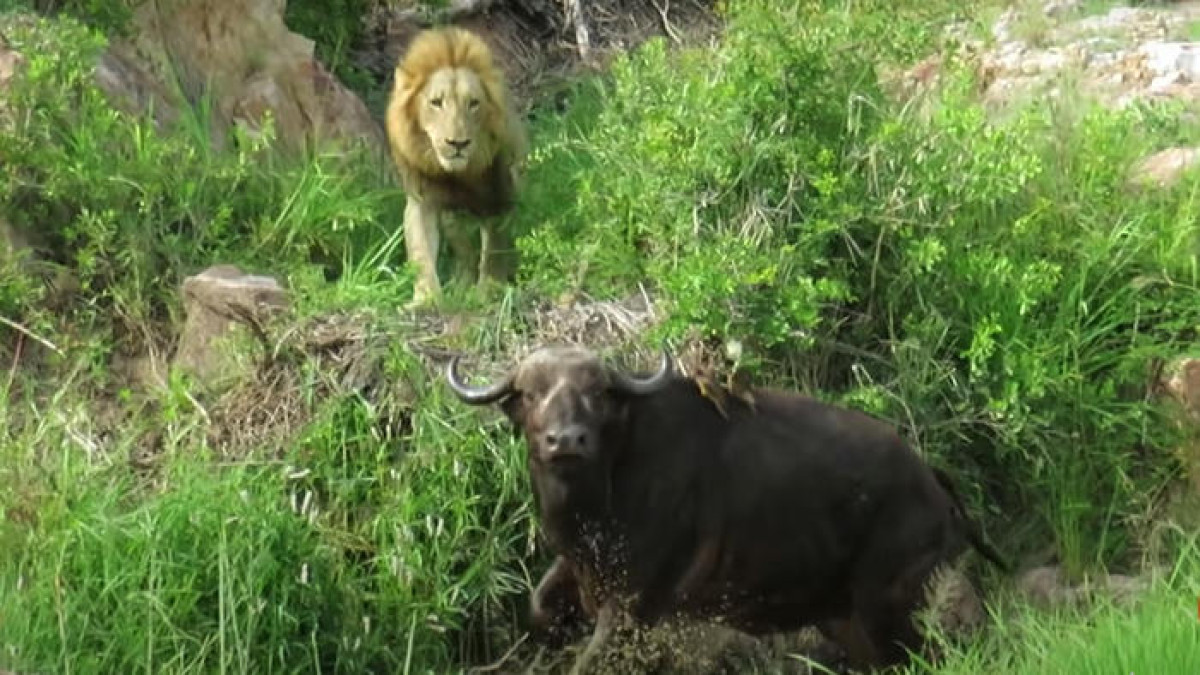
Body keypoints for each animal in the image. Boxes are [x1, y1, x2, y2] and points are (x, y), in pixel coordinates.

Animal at [385, 26, 529, 308]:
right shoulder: (422, 200)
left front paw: (488, 293)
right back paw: (461, 286)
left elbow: (493, 251)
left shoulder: (498, 197)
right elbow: (420, 253)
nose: (458, 143)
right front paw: (426, 299)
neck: (456, 175)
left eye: (473, 103)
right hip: (453, 218)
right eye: (436, 102)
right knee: (463, 250)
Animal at [446, 345, 1007, 673]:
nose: (566, 441)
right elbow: (539, 607)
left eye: (599, 393)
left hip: (888, 600)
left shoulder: (633, 606)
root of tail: (930, 479)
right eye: (530, 393)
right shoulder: (580, 571)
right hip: (843, 615)